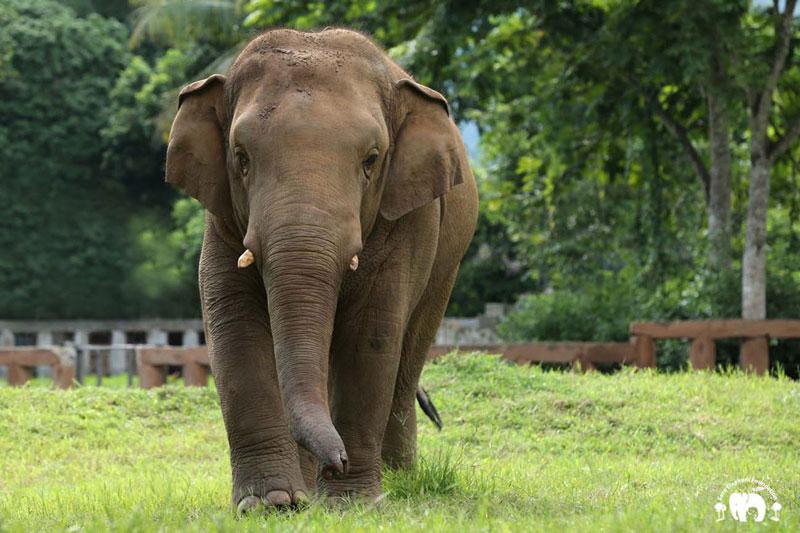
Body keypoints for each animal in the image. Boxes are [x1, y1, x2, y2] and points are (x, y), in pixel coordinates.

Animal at [162, 29, 476, 512]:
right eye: (241, 156)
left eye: (371, 159)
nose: (337, 462)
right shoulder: (222, 220)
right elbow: (234, 326)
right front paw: (271, 503)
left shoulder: (408, 222)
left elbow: (370, 335)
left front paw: (351, 505)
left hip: (447, 264)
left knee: (407, 359)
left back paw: (397, 478)